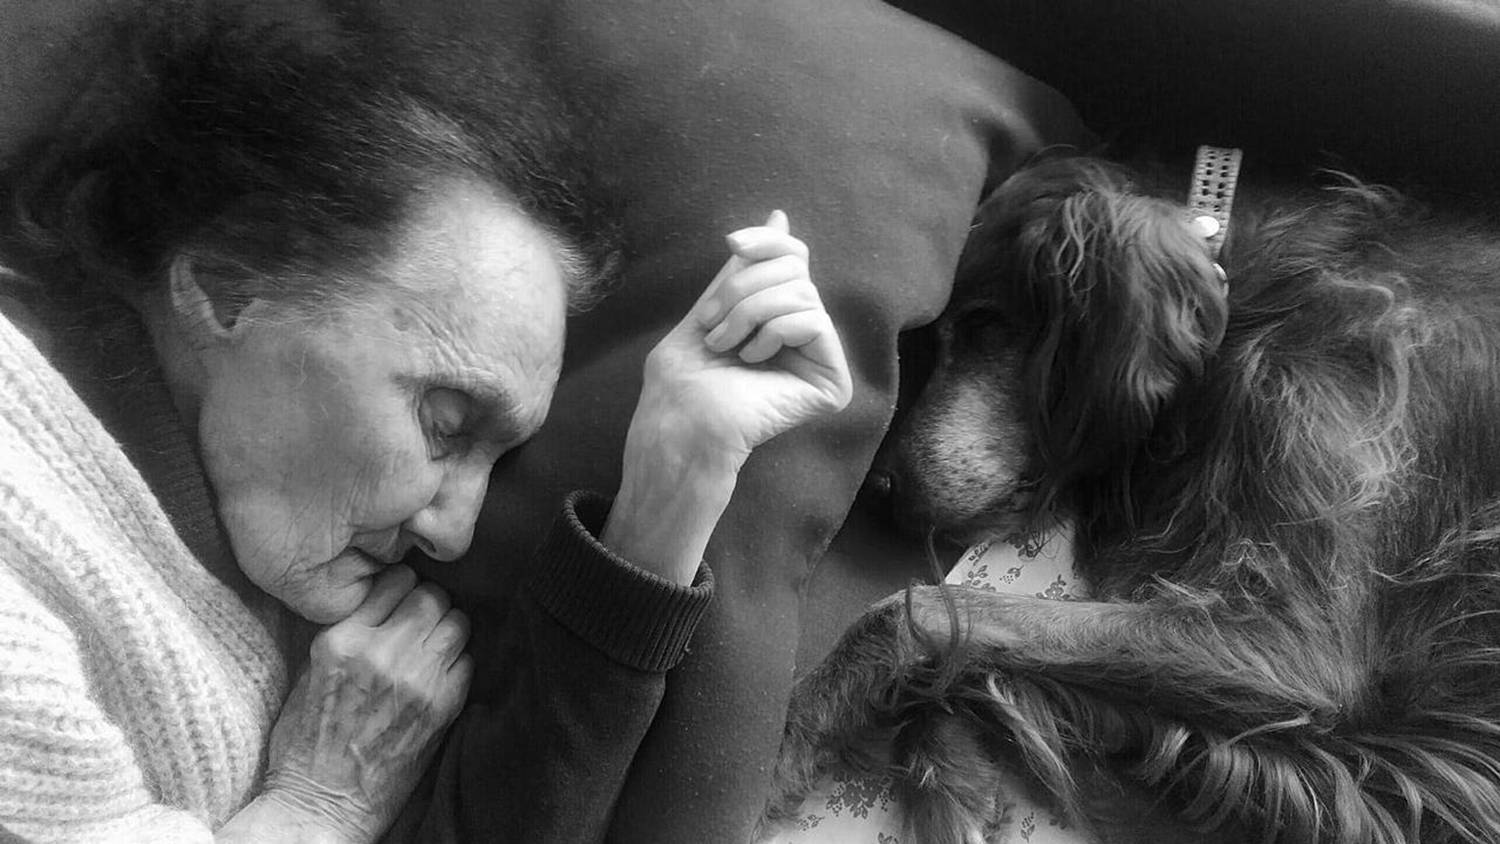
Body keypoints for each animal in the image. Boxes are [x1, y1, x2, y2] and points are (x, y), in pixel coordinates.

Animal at [761, 153, 1500, 843]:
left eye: (986, 327)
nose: (879, 486)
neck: (1249, 300)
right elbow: (973, 643)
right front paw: (955, 777)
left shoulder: (1290, 645)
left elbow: (922, 608)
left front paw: (791, 736)